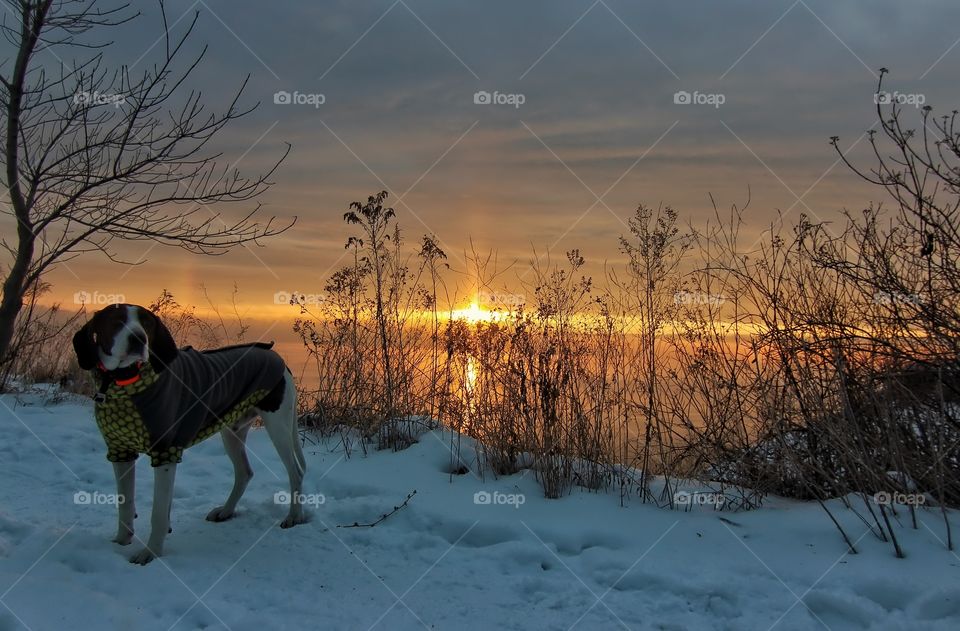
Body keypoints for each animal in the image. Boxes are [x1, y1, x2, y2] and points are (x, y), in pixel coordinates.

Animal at [73, 304, 306, 564]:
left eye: (147, 323)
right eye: (116, 320)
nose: (138, 338)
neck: (125, 382)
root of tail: (278, 358)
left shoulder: (165, 452)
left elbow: (158, 513)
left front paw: (150, 553)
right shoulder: (120, 452)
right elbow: (126, 503)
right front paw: (122, 542)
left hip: (278, 426)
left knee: (295, 472)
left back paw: (294, 516)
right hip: (232, 431)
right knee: (245, 473)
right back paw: (226, 511)